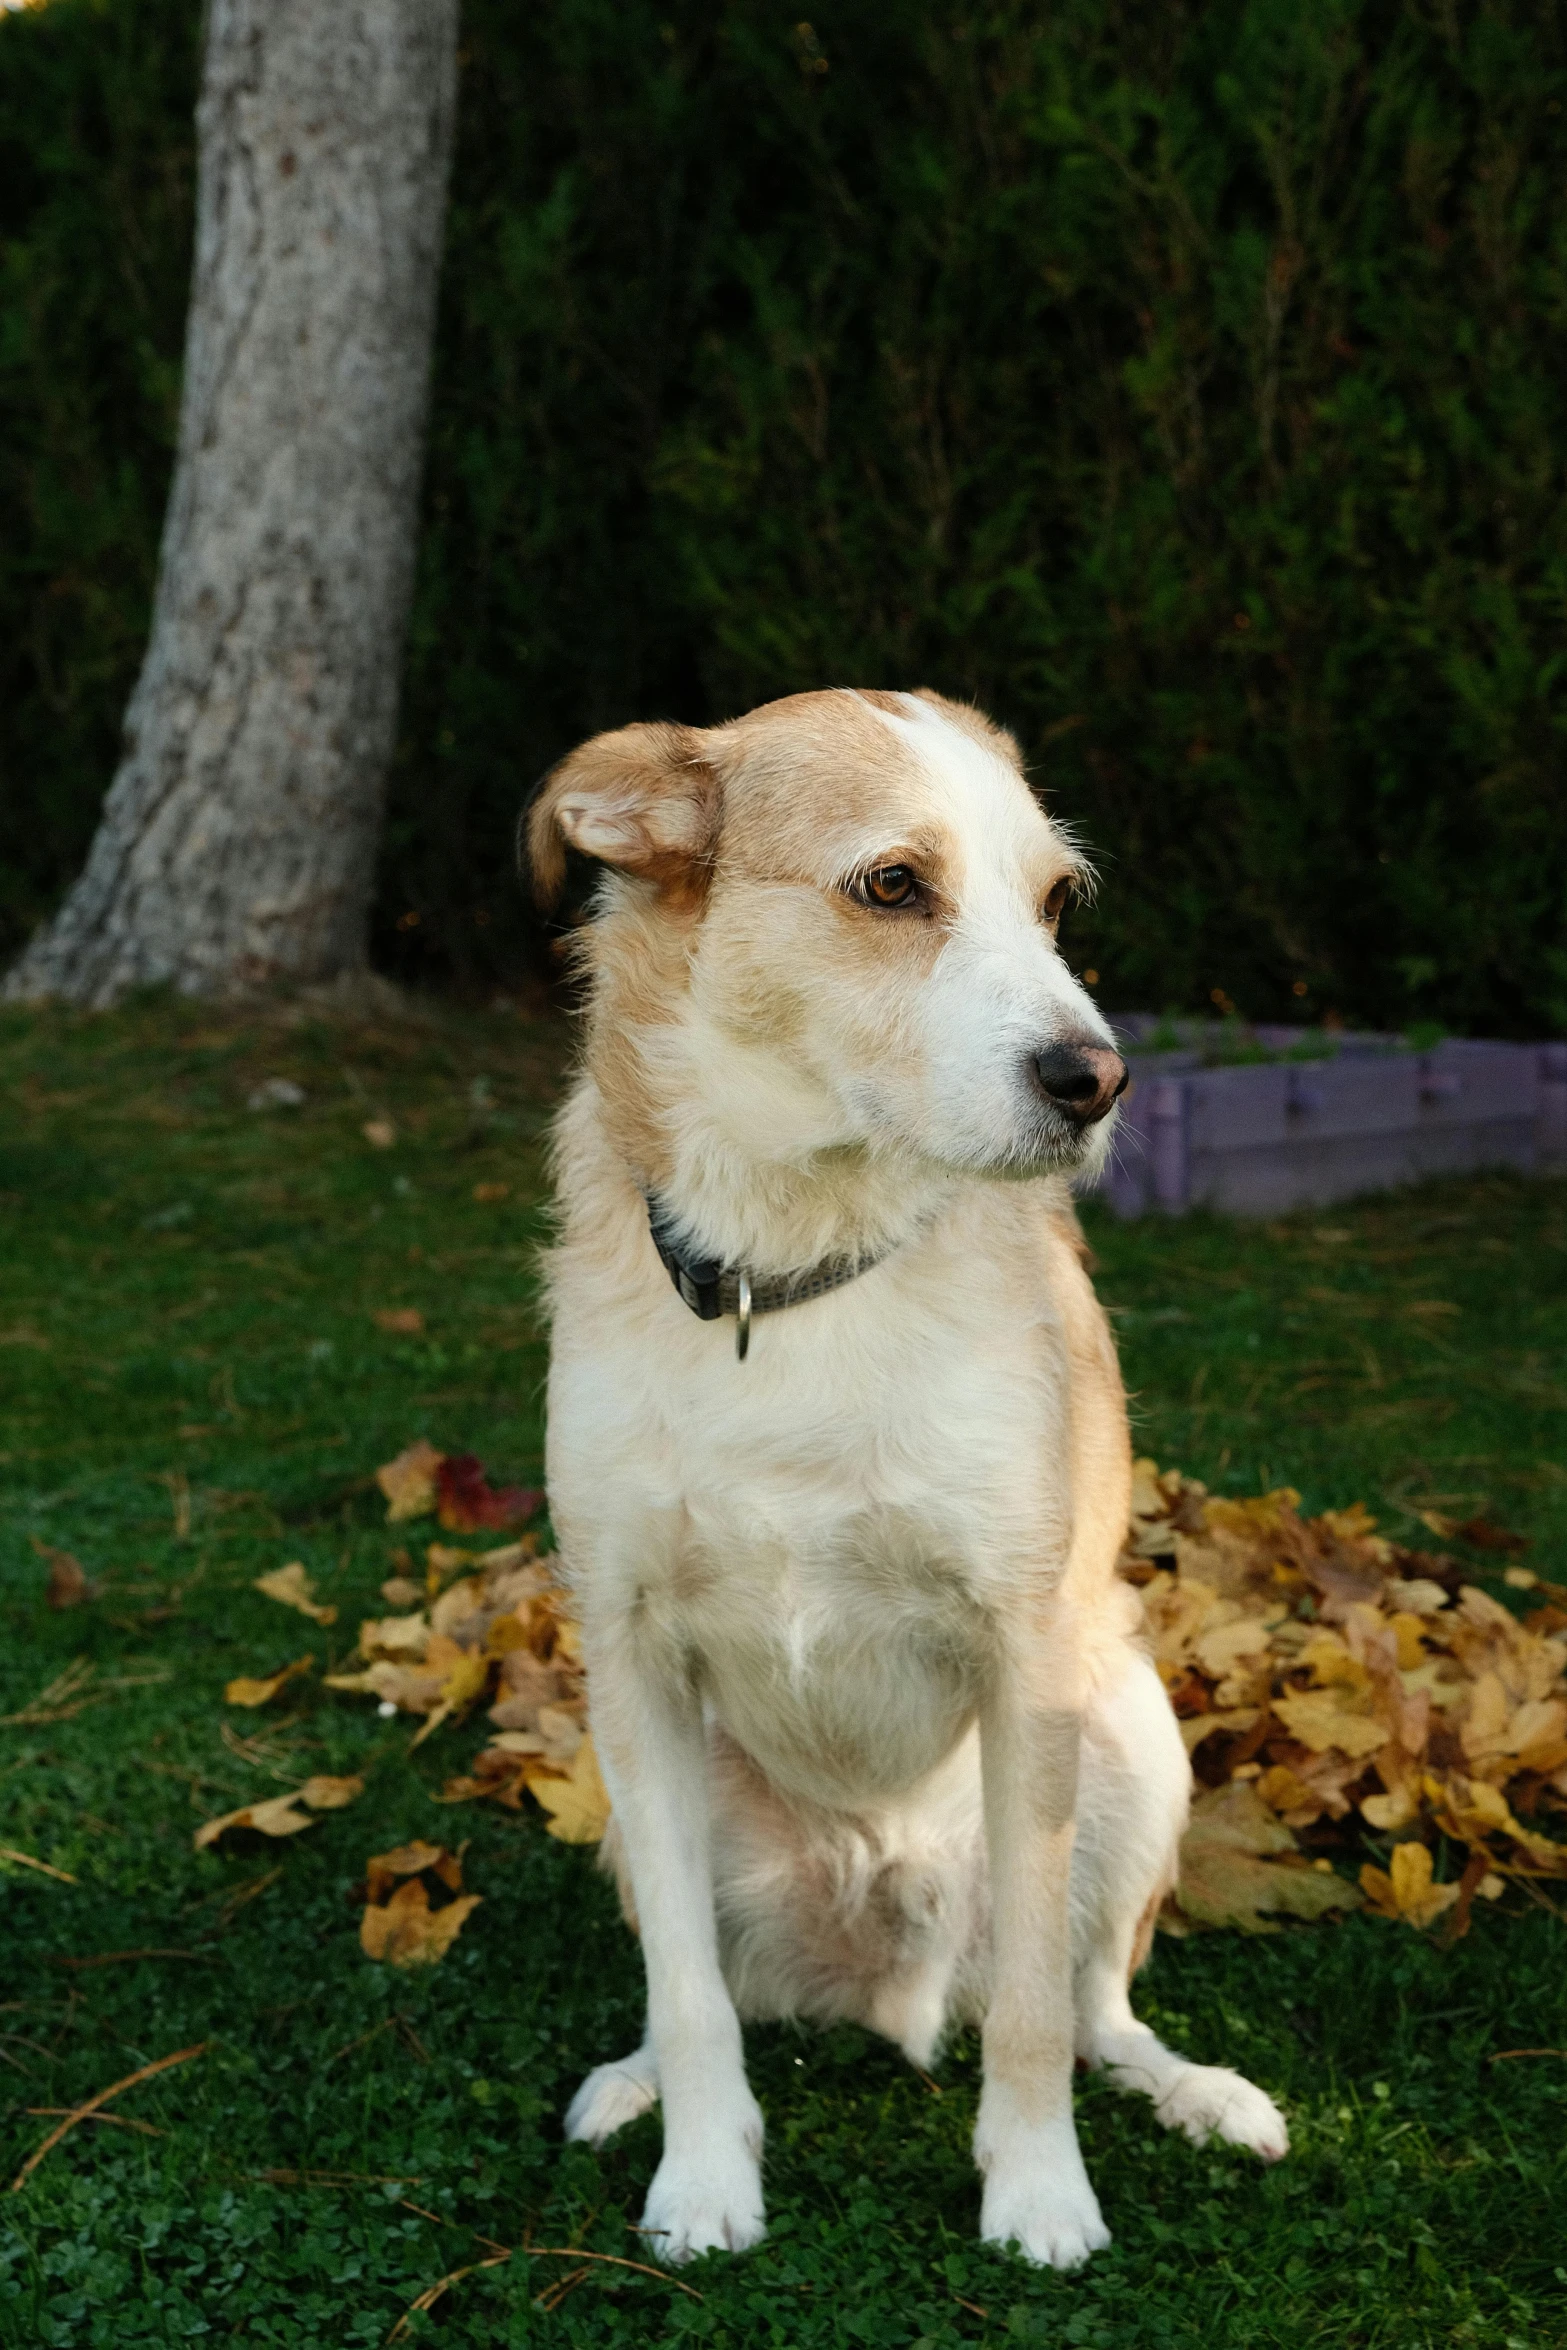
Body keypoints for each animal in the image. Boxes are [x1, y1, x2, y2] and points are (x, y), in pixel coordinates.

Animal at [526, 686, 1287, 2265]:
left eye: (1055, 901)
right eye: (891, 885)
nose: (1097, 1080)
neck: (793, 1270)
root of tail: (882, 1954)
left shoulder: (1024, 1650)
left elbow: (1032, 2018)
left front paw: (1038, 2192)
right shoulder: (627, 1655)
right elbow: (688, 1994)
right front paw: (703, 2177)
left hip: (1131, 1741)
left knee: (1089, 2001)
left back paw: (1197, 2091)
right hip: (635, 1800)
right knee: (712, 1985)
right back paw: (637, 2081)